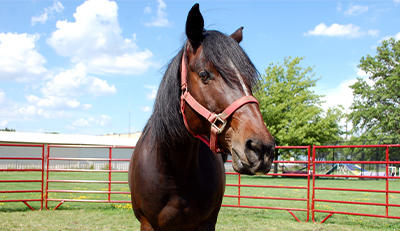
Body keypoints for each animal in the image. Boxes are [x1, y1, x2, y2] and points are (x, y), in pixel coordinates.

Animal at [128, 4, 276, 231]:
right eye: (204, 75)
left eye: (248, 80)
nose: (262, 148)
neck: (174, 170)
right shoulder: (147, 223)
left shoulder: (207, 223)